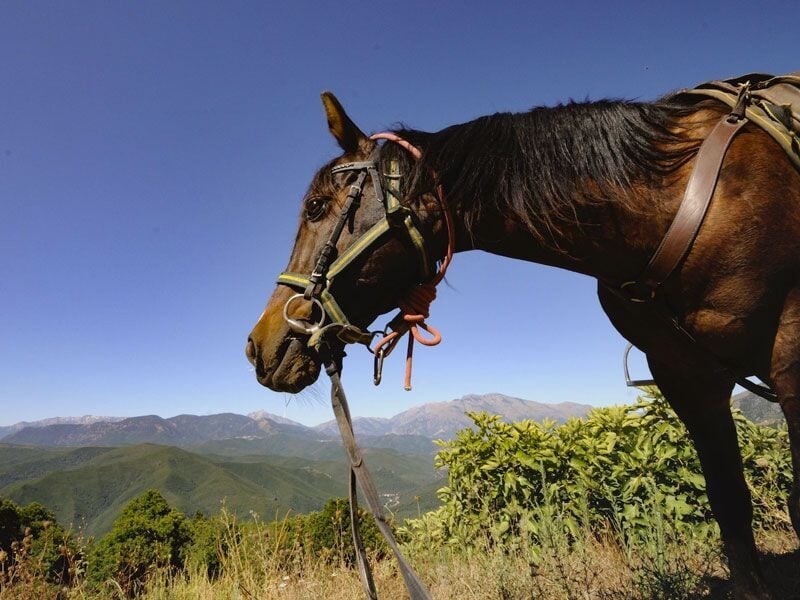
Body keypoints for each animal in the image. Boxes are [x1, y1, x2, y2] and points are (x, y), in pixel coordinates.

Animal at [245, 83, 800, 599]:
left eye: (317, 207)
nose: (257, 345)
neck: (669, 205)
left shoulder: (788, 358)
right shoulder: (687, 378)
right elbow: (730, 507)